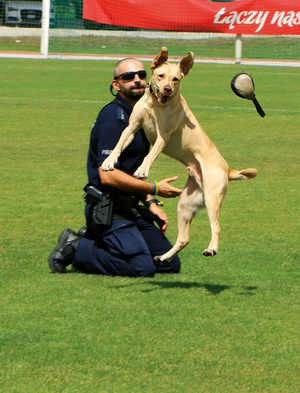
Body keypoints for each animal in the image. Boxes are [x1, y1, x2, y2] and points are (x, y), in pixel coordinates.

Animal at [102, 46, 256, 264]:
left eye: (176, 79)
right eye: (160, 75)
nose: (167, 89)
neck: (155, 105)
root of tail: (228, 169)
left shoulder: (163, 136)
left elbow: (150, 155)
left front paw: (142, 170)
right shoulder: (132, 126)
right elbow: (118, 145)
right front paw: (108, 161)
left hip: (212, 197)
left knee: (216, 228)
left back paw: (211, 249)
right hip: (186, 204)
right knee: (184, 239)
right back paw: (164, 257)